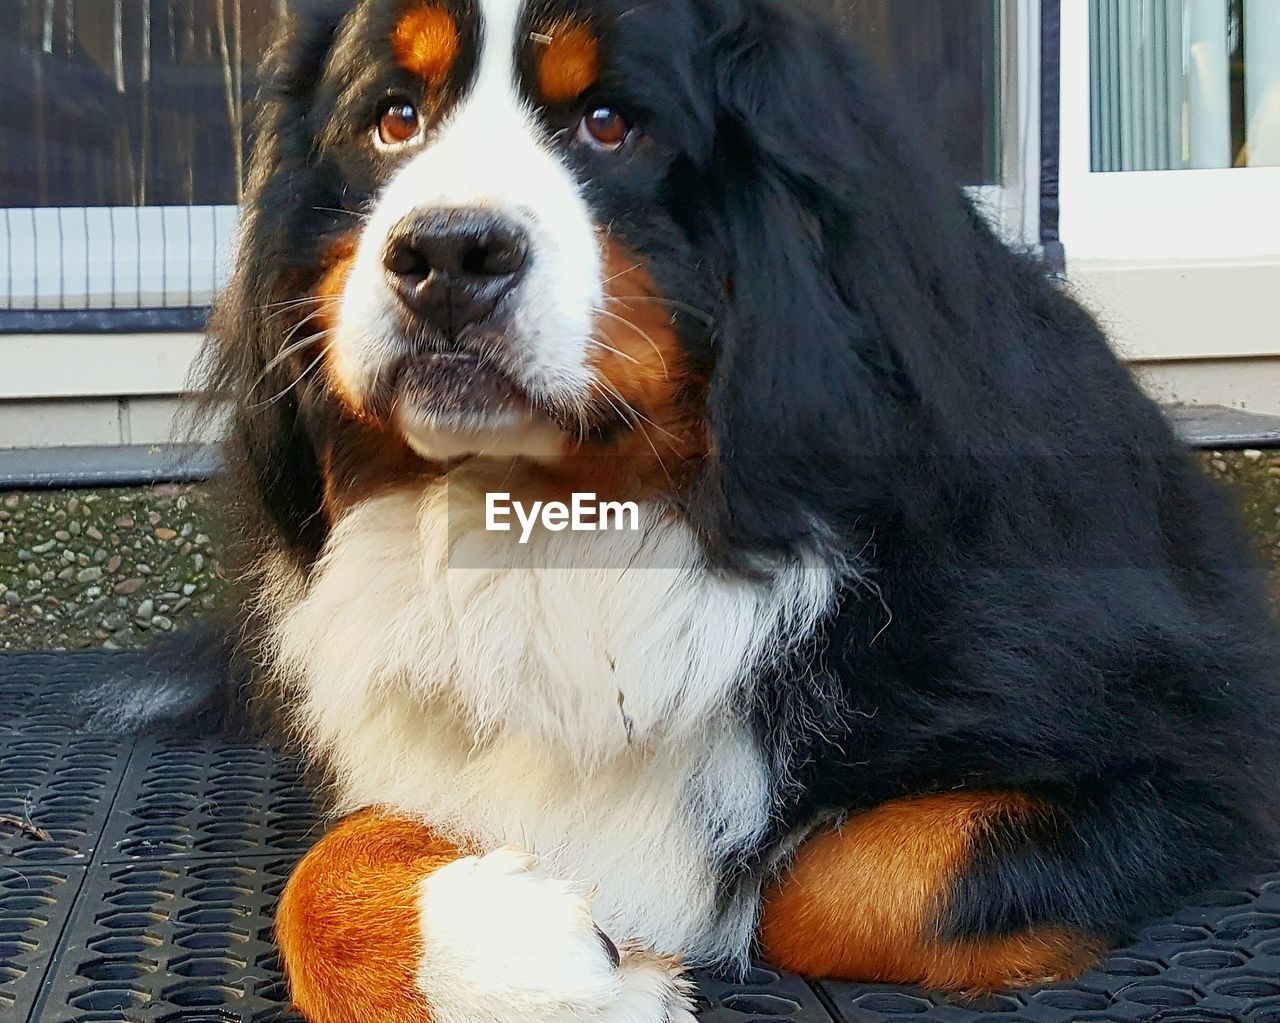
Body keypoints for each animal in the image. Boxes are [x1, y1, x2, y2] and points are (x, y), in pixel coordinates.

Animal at [186, 0, 1280, 1019]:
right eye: (394, 119)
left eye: (609, 124)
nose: (448, 253)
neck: (555, 524)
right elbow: (318, 870)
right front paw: (525, 959)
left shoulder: (1198, 754)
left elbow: (816, 885)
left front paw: (610, 953)